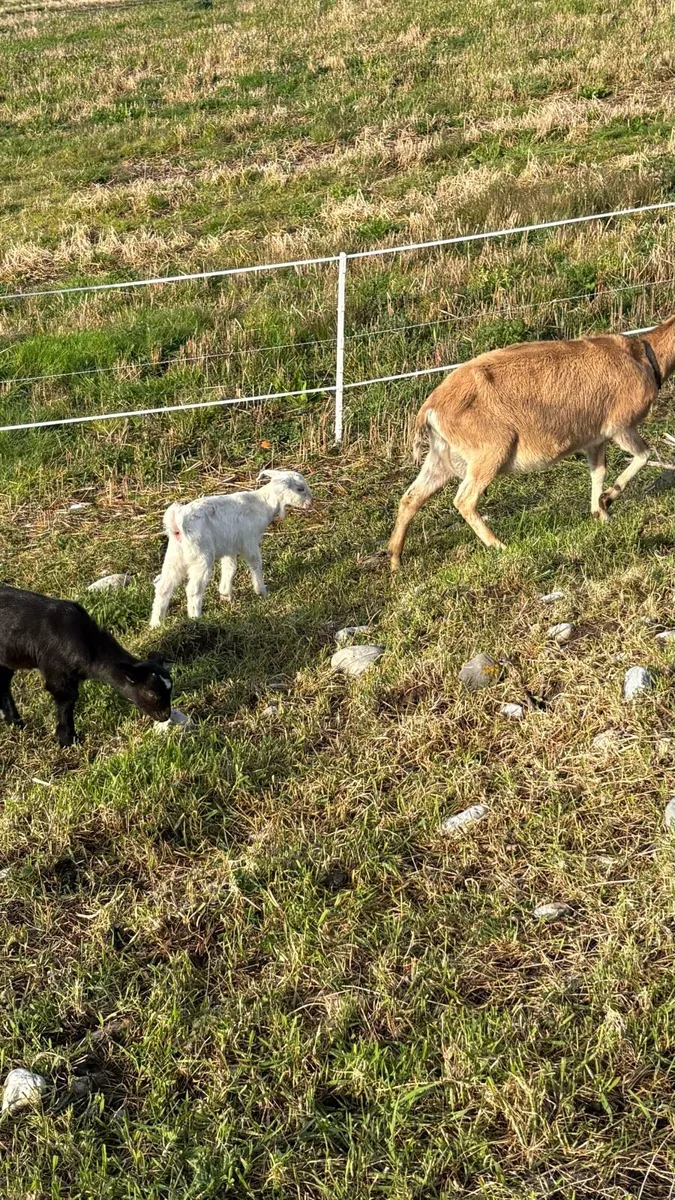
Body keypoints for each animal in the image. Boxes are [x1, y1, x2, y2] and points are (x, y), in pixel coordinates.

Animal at [0, 585, 172, 746]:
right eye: (152, 694)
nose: (166, 716)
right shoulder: (58, 672)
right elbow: (67, 701)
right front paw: (68, 740)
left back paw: (16, 723)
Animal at [150, 468, 313, 626]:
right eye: (300, 489)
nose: (311, 502)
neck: (262, 503)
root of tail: (176, 523)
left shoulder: (230, 547)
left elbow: (230, 568)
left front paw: (225, 594)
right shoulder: (249, 541)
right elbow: (255, 564)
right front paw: (262, 591)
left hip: (175, 556)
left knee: (163, 586)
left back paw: (157, 624)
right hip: (201, 556)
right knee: (193, 589)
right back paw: (196, 618)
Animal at [388, 317, 675, 568]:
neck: (644, 358)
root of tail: (431, 407)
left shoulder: (594, 438)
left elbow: (598, 472)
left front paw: (601, 512)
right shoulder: (620, 426)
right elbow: (644, 455)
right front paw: (608, 499)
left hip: (442, 456)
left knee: (411, 497)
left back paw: (395, 560)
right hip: (490, 451)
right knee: (464, 499)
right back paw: (498, 545)